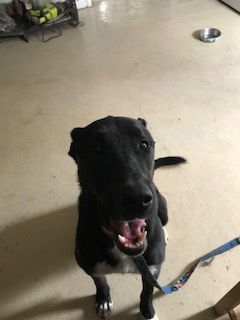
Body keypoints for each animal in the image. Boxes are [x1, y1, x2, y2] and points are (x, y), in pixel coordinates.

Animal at [68, 117, 185, 320]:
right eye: (96, 148)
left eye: (144, 144)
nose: (138, 199)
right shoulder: (90, 266)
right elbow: (100, 282)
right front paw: (103, 300)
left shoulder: (152, 269)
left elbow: (147, 293)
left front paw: (148, 314)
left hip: (162, 207)